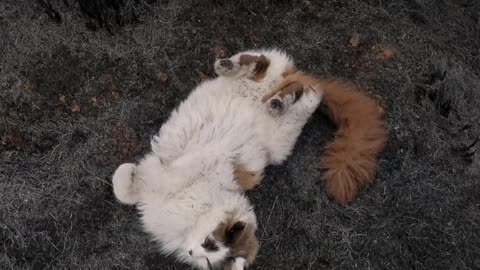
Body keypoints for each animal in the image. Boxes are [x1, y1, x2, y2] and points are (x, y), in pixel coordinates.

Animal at [111, 49, 322, 270]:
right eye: (208, 243)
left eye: (207, 257)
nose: (190, 251)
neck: (203, 208)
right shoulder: (200, 163)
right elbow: (147, 180)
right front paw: (133, 170)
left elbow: (132, 189)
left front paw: (134, 173)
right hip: (271, 94)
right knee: (264, 65)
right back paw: (238, 72)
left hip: (281, 142)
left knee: (306, 93)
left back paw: (277, 101)